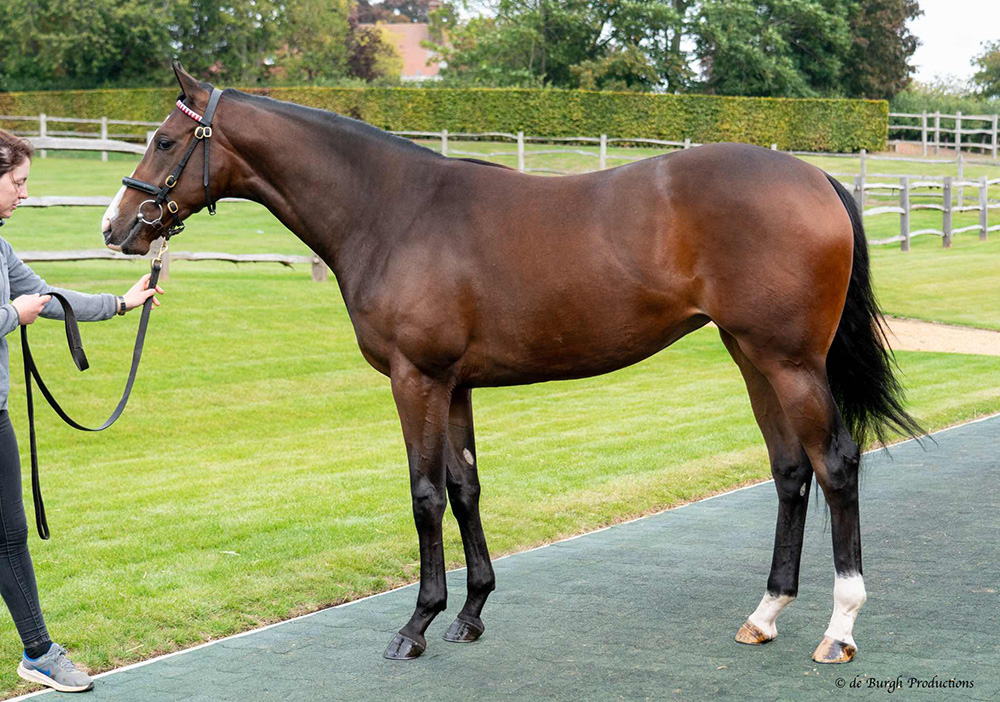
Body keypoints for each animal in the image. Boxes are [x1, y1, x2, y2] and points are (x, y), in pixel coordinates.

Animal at [103, 64, 920, 664]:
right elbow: (465, 489)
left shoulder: (417, 380)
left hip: (789, 361)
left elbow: (425, 494)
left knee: (835, 463)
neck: (394, 211)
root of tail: (816, 179)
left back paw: (839, 628)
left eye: (167, 141)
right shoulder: (455, 385)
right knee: (789, 469)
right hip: (750, 355)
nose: (117, 229)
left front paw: (416, 625)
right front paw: (469, 613)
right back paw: (766, 613)